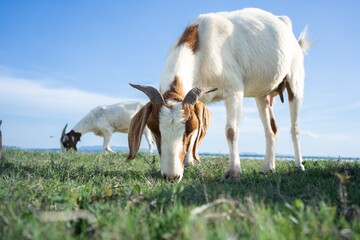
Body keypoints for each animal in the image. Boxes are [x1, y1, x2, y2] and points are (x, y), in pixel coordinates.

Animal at [128, 7, 310, 182]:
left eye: (187, 130)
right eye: (154, 130)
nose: (171, 177)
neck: (200, 45)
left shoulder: (234, 91)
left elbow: (231, 131)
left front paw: (233, 172)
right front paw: (188, 163)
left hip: (295, 80)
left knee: (294, 126)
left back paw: (299, 166)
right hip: (262, 94)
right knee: (271, 129)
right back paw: (268, 167)